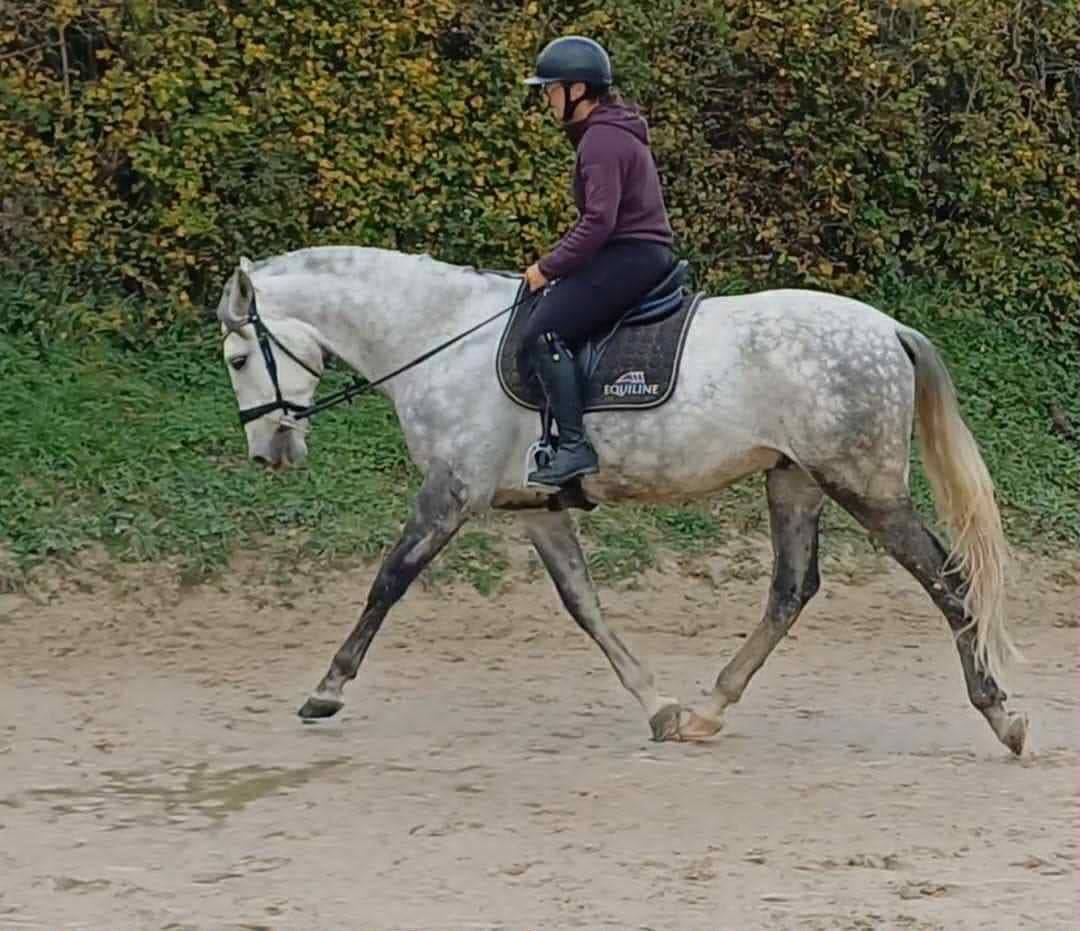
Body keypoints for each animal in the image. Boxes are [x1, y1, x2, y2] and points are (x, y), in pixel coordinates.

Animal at [214, 244, 1027, 756]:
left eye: (240, 356)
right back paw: (708, 708)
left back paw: (1001, 713)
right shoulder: (534, 510)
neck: (441, 339)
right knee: (792, 589)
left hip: (863, 486)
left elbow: (388, 580)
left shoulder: (451, 491)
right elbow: (584, 603)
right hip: (793, 478)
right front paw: (659, 706)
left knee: (947, 580)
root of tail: (888, 329)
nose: (269, 452)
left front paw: (325, 691)